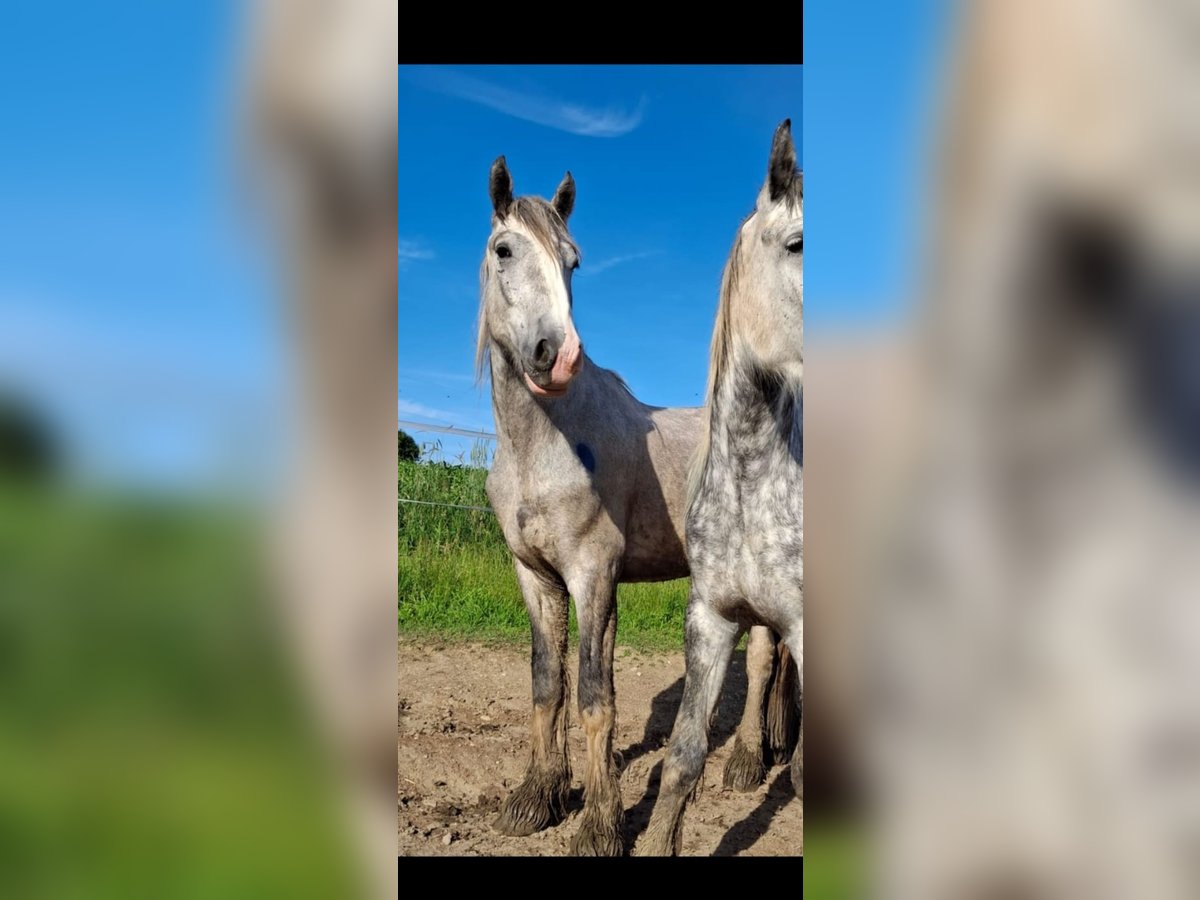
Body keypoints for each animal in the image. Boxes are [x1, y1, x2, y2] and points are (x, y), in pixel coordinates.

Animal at [472, 157, 792, 859]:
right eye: (504, 249)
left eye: (572, 261)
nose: (556, 355)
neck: (545, 442)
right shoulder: (537, 577)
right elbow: (547, 683)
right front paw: (535, 799)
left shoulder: (592, 575)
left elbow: (595, 696)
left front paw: (598, 827)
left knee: (761, 663)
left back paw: (746, 763)